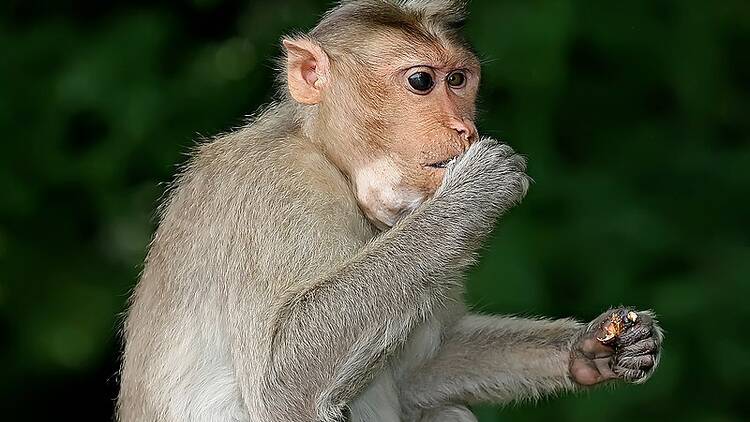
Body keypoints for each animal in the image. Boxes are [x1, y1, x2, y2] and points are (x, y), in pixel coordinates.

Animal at [117, 0, 664, 422]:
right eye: (421, 81)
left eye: (459, 80)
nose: (464, 128)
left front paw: (591, 348)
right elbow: (282, 379)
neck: (333, 161)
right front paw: (477, 187)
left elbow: (418, 371)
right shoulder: (277, 188)